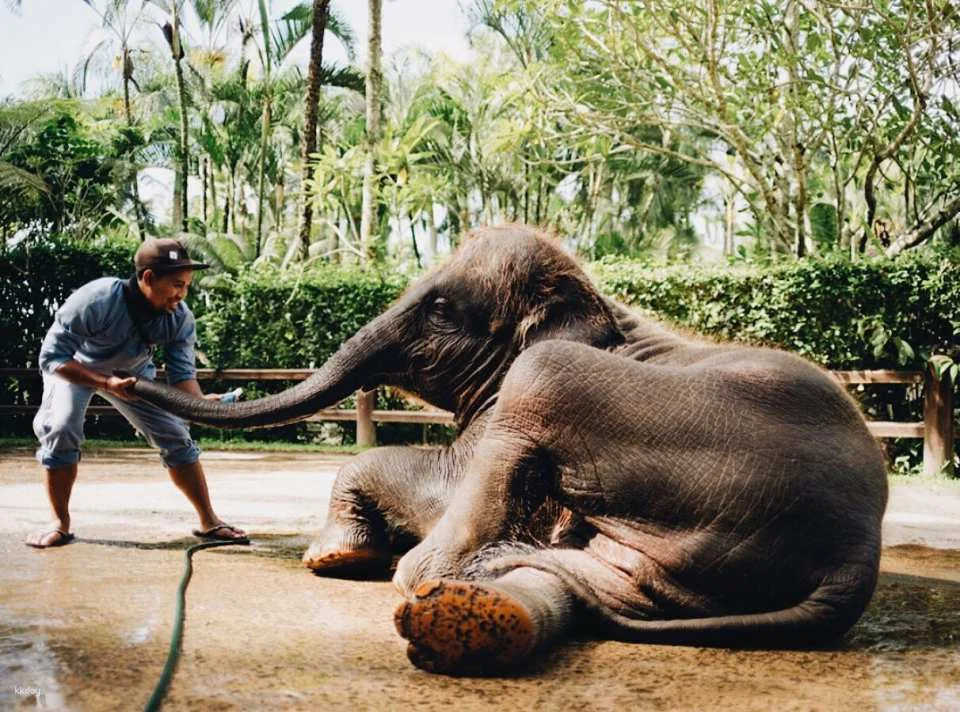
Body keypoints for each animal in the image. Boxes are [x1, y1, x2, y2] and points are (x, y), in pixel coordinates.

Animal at [129, 224, 888, 676]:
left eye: (439, 308)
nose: (127, 376)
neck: (595, 297)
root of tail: (855, 557)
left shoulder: (507, 405)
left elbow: (427, 477)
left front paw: (335, 558)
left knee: (542, 387)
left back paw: (425, 581)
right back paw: (479, 604)